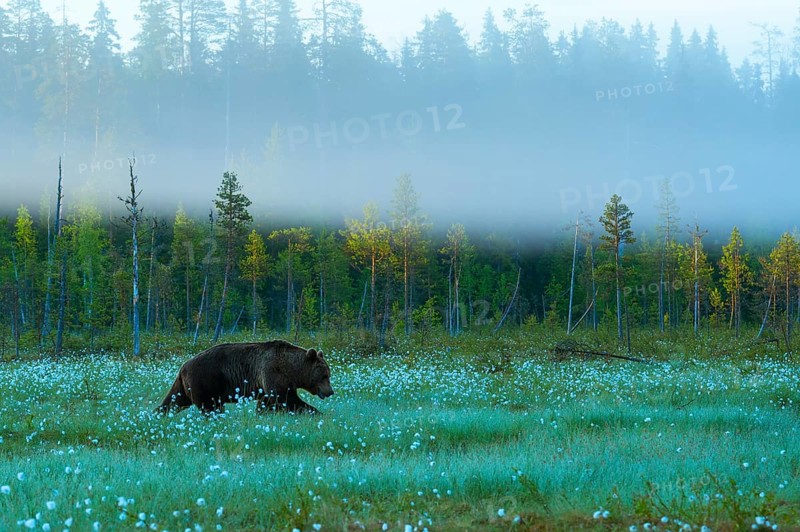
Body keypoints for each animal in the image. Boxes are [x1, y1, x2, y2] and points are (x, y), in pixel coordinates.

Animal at [156, 340, 334, 415]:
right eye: (324, 375)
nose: (330, 391)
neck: (292, 369)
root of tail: (183, 366)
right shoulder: (272, 372)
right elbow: (286, 399)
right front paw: (317, 412)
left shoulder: (265, 384)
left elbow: (267, 403)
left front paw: (262, 413)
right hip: (205, 381)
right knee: (210, 407)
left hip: (184, 386)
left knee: (174, 400)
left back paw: (158, 415)